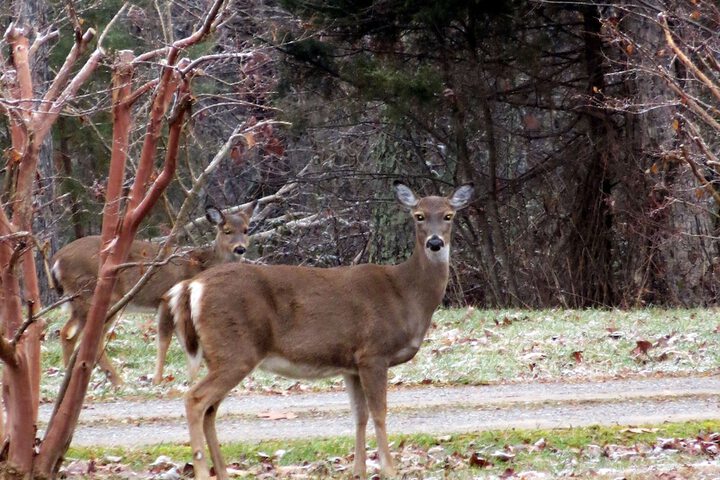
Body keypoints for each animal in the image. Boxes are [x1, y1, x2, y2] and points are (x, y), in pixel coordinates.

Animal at [50, 203, 255, 386]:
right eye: (227, 230)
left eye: (246, 230)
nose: (240, 249)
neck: (201, 265)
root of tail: (57, 260)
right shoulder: (166, 298)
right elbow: (164, 341)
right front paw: (157, 380)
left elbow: (187, 342)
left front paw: (193, 379)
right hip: (97, 296)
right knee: (90, 338)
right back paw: (117, 381)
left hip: (78, 300)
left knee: (68, 333)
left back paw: (68, 374)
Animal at [166, 182, 476, 478]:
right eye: (419, 216)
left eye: (448, 215)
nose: (435, 242)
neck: (405, 293)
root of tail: (192, 286)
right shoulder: (373, 353)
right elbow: (380, 413)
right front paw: (389, 469)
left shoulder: (352, 364)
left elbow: (359, 416)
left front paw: (358, 470)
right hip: (236, 351)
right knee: (195, 400)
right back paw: (202, 471)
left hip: (220, 354)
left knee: (210, 410)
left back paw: (222, 472)